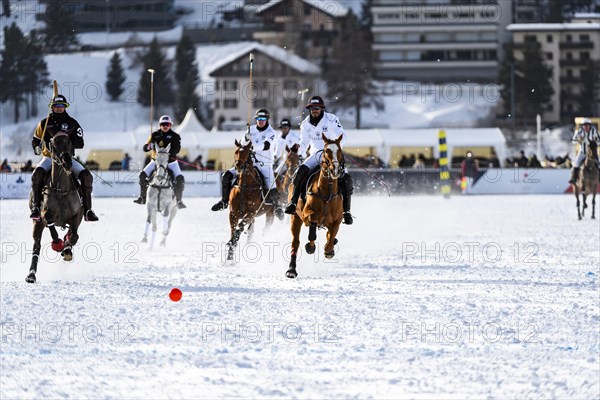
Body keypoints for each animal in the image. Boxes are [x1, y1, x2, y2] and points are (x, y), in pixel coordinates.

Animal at [27, 133, 82, 282]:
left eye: (69, 142)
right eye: (53, 144)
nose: (67, 162)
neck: (60, 189)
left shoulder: (77, 215)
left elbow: (74, 235)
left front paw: (67, 250)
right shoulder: (45, 215)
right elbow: (51, 225)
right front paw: (57, 244)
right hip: (36, 223)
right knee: (36, 245)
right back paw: (31, 275)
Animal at [288, 134, 344, 278]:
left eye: (340, 150)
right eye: (326, 151)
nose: (335, 170)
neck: (326, 192)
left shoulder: (337, 220)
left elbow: (331, 237)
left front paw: (329, 249)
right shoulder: (307, 215)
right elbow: (312, 229)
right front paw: (310, 246)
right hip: (295, 217)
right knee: (295, 243)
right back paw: (291, 270)